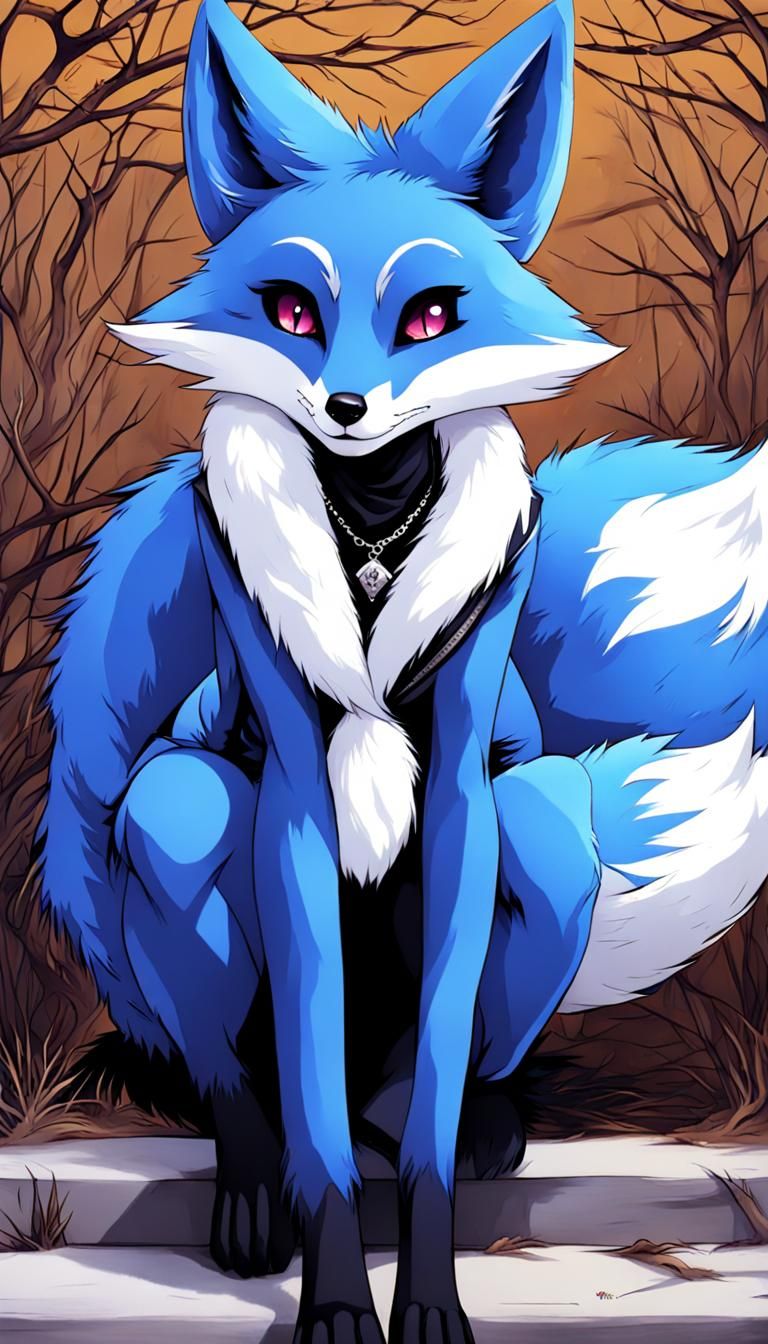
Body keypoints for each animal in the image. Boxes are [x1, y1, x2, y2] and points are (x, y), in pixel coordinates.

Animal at [37, 0, 768, 1341]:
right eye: (289, 309)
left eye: (430, 316)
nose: (344, 406)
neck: (371, 513)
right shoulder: (270, 707)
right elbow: (321, 1134)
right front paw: (333, 1287)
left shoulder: (482, 696)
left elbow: (416, 1131)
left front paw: (425, 1277)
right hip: (174, 831)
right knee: (194, 873)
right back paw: (246, 1180)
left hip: (543, 831)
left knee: (486, 938)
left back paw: (480, 1126)